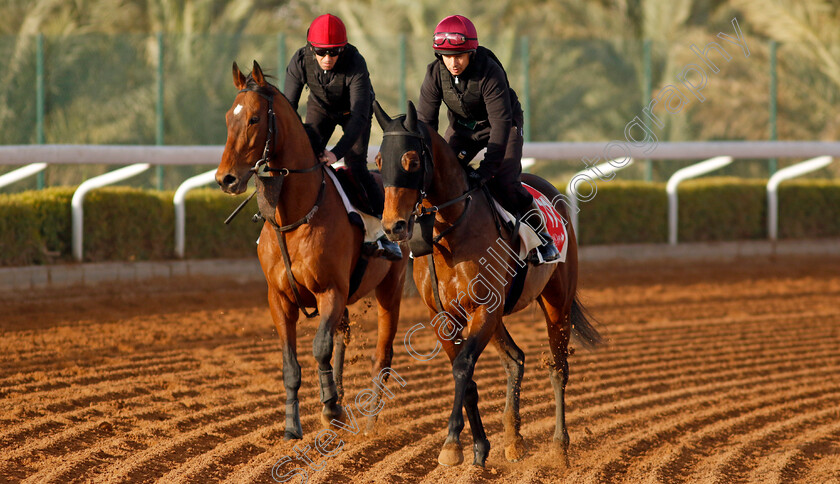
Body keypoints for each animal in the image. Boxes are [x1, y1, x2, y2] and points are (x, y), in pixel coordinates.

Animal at [215, 60, 408, 438]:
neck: (295, 215)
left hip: (390, 288)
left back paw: (370, 421)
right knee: (343, 340)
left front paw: (331, 409)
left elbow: (320, 348)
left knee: (383, 353)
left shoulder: (331, 290)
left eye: (255, 119)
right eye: (229, 117)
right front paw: (293, 425)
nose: (225, 179)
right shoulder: (279, 298)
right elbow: (291, 363)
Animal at [370, 102, 600, 468]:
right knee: (515, 359)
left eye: (412, 161)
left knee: (558, 368)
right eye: (379, 161)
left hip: (556, 302)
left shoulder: (483, 309)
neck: (451, 229)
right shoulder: (443, 316)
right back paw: (514, 441)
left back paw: (559, 447)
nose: (394, 226)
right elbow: (465, 376)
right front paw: (478, 446)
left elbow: (463, 367)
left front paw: (451, 443)